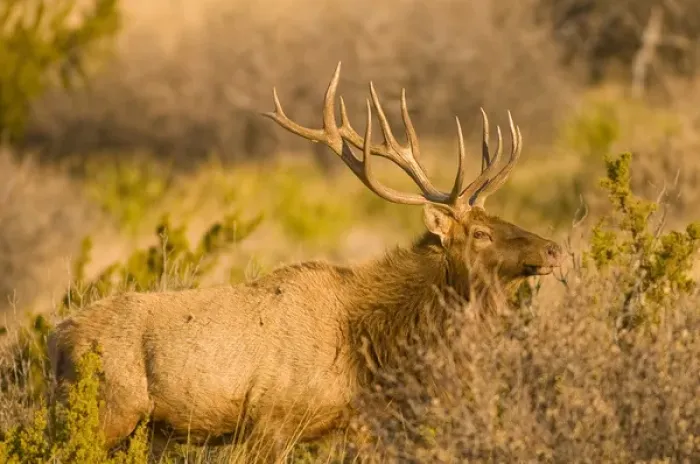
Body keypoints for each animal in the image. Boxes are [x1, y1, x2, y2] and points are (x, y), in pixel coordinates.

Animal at [47, 62, 562, 458]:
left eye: (501, 218)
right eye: (480, 233)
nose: (553, 248)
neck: (367, 346)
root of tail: (55, 341)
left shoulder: (345, 426)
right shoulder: (271, 420)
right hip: (106, 411)